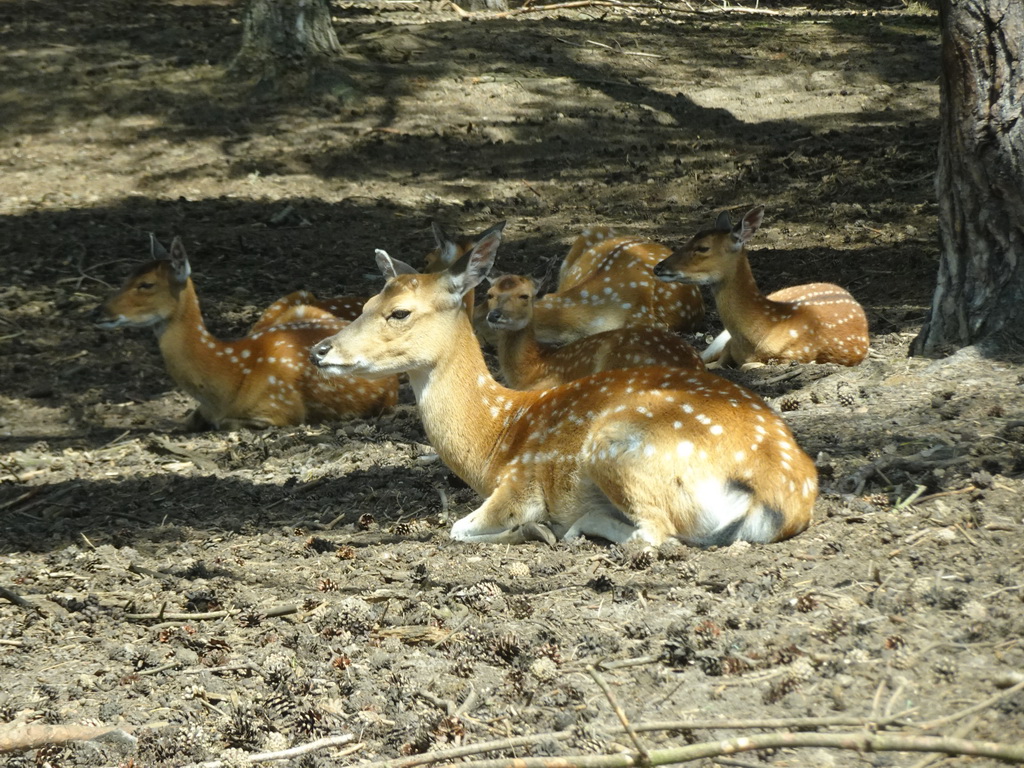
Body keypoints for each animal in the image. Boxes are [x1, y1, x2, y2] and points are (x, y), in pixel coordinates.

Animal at [651, 207, 868, 370]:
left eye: (703, 247)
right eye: (690, 238)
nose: (658, 267)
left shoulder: (794, 355)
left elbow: (746, 367)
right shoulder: (729, 345)